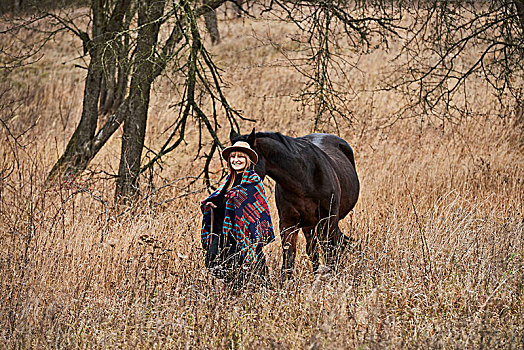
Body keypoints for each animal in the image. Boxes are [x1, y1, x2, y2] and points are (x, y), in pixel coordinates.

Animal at [230, 130, 360, 278]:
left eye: (244, 164)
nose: (231, 193)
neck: (304, 180)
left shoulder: (328, 219)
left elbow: (330, 251)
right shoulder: (288, 223)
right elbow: (289, 260)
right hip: (310, 225)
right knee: (314, 249)